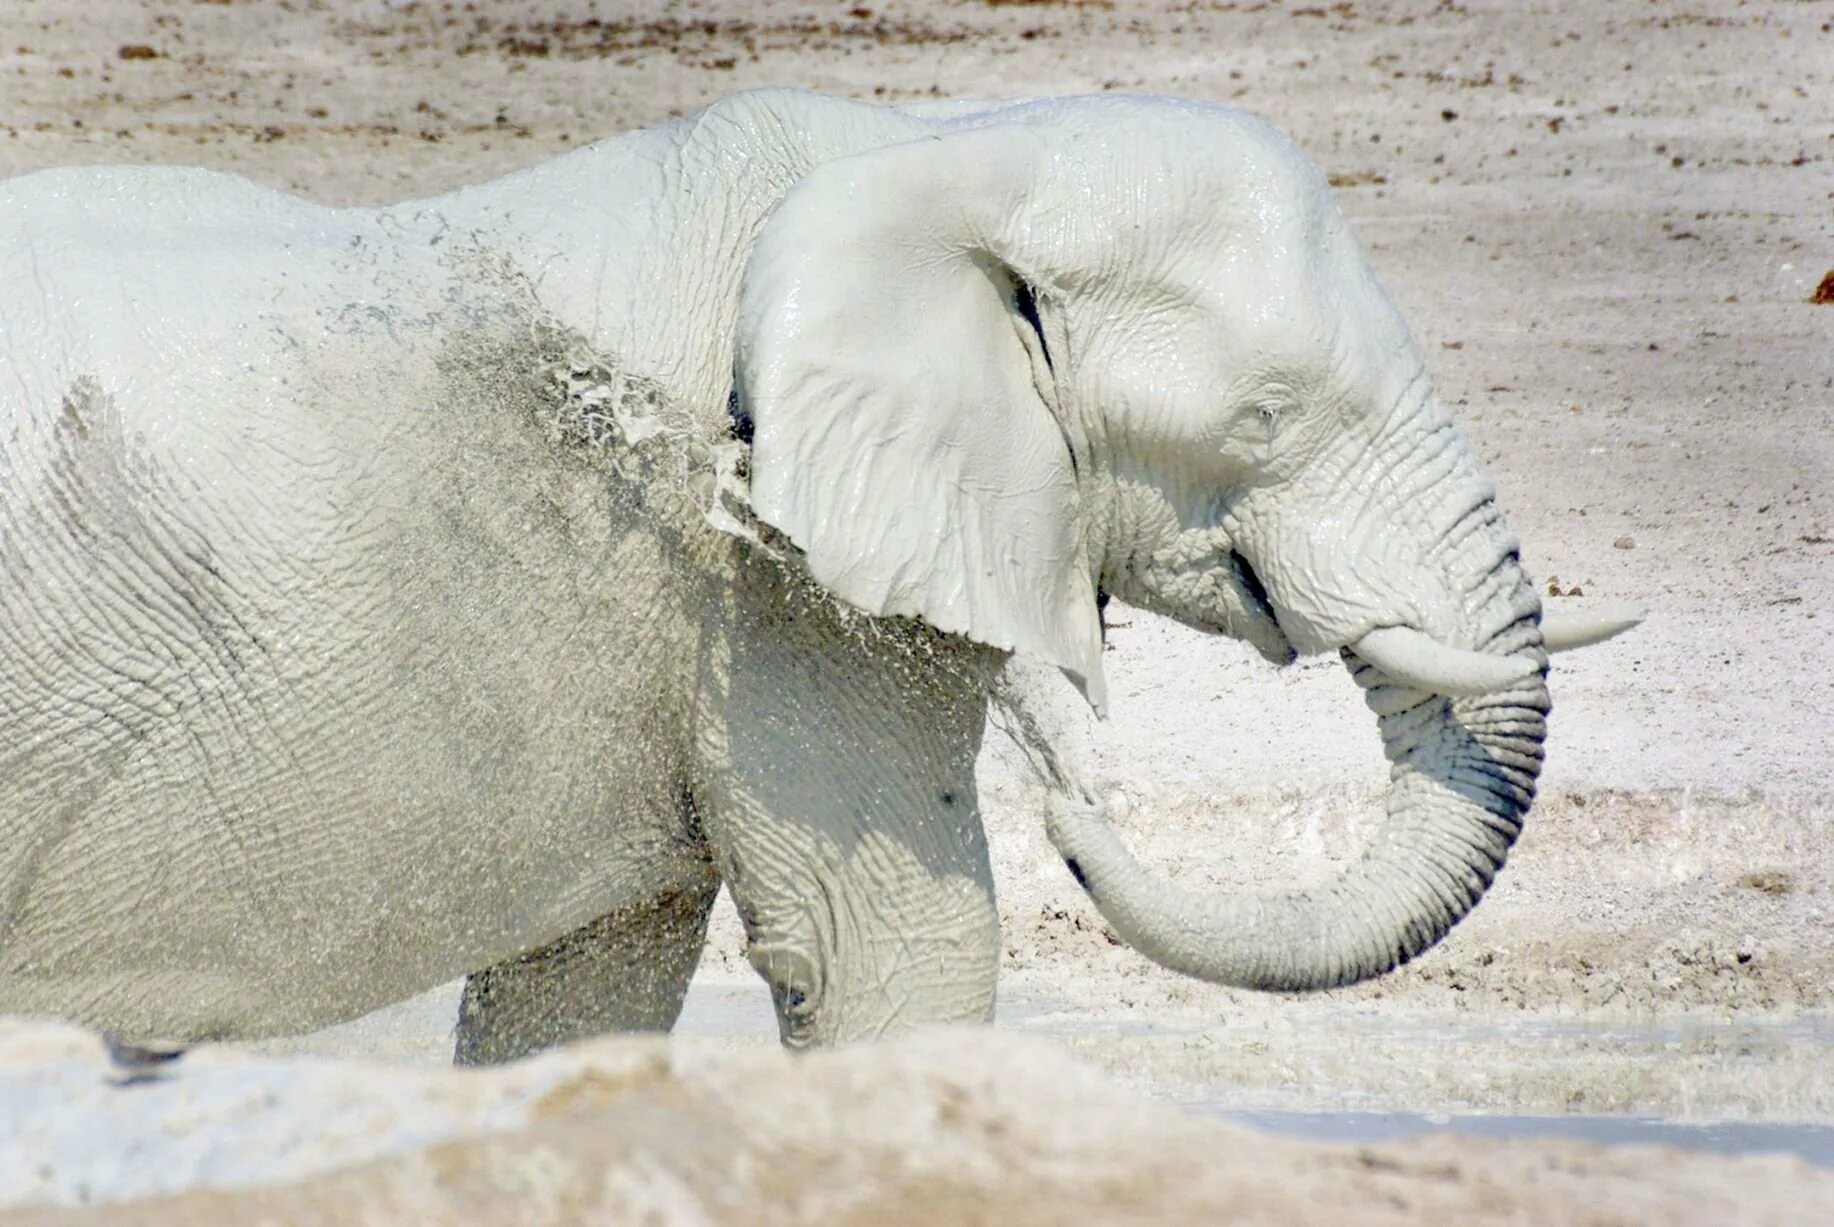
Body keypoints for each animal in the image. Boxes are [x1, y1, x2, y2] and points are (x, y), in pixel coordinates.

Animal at [0, 90, 1635, 1056]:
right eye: (1264, 420)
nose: (1074, 800)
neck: (939, 150)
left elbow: (577, 995)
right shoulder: (777, 590)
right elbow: (890, 952)